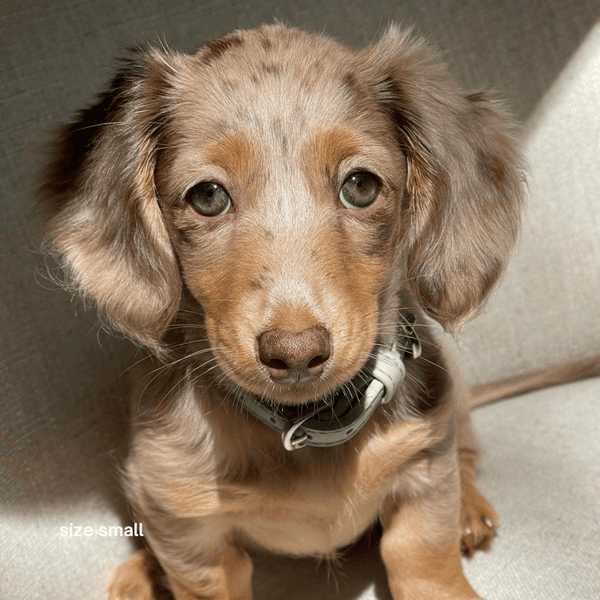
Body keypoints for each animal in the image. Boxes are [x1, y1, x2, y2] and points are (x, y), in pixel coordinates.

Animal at [42, 23, 524, 600]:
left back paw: (469, 510)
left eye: (361, 185)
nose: (295, 354)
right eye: (207, 196)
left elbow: (426, 561)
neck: (309, 428)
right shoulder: (192, 537)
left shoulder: (425, 471)